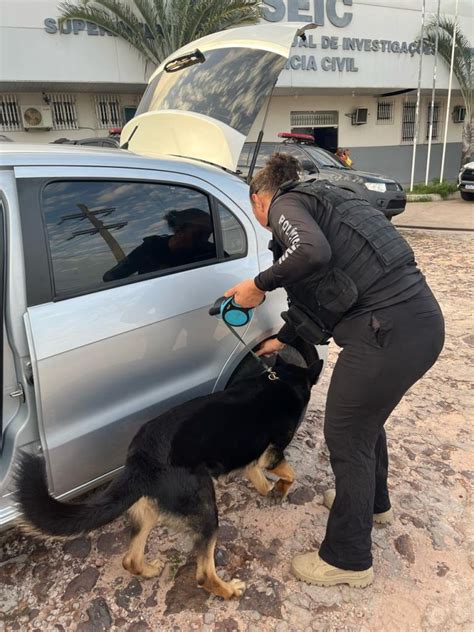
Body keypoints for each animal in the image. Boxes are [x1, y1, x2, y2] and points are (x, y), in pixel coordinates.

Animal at [15, 354, 322, 600]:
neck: (281, 381)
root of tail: (142, 459)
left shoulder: (254, 458)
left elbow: (256, 473)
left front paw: (267, 489)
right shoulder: (272, 454)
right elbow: (290, 473)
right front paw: (279, 489)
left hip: (147, 510)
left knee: (130, 559)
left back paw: (149, 570)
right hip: (206, 510)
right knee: (203, 574)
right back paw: (228, 590)